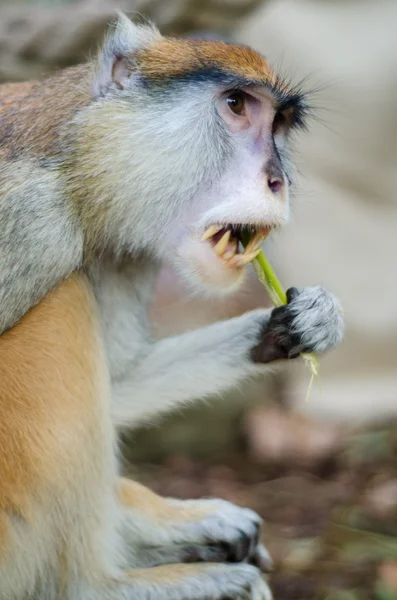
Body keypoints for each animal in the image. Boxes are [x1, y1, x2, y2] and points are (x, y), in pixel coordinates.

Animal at [0, 14, 342, 600]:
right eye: (235, 105)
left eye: (279, 123)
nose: (279, 180)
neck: (79, 165)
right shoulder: (29, 216)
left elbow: (119, 382)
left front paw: (299, 325)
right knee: (61, 300)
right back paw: (95, 582)